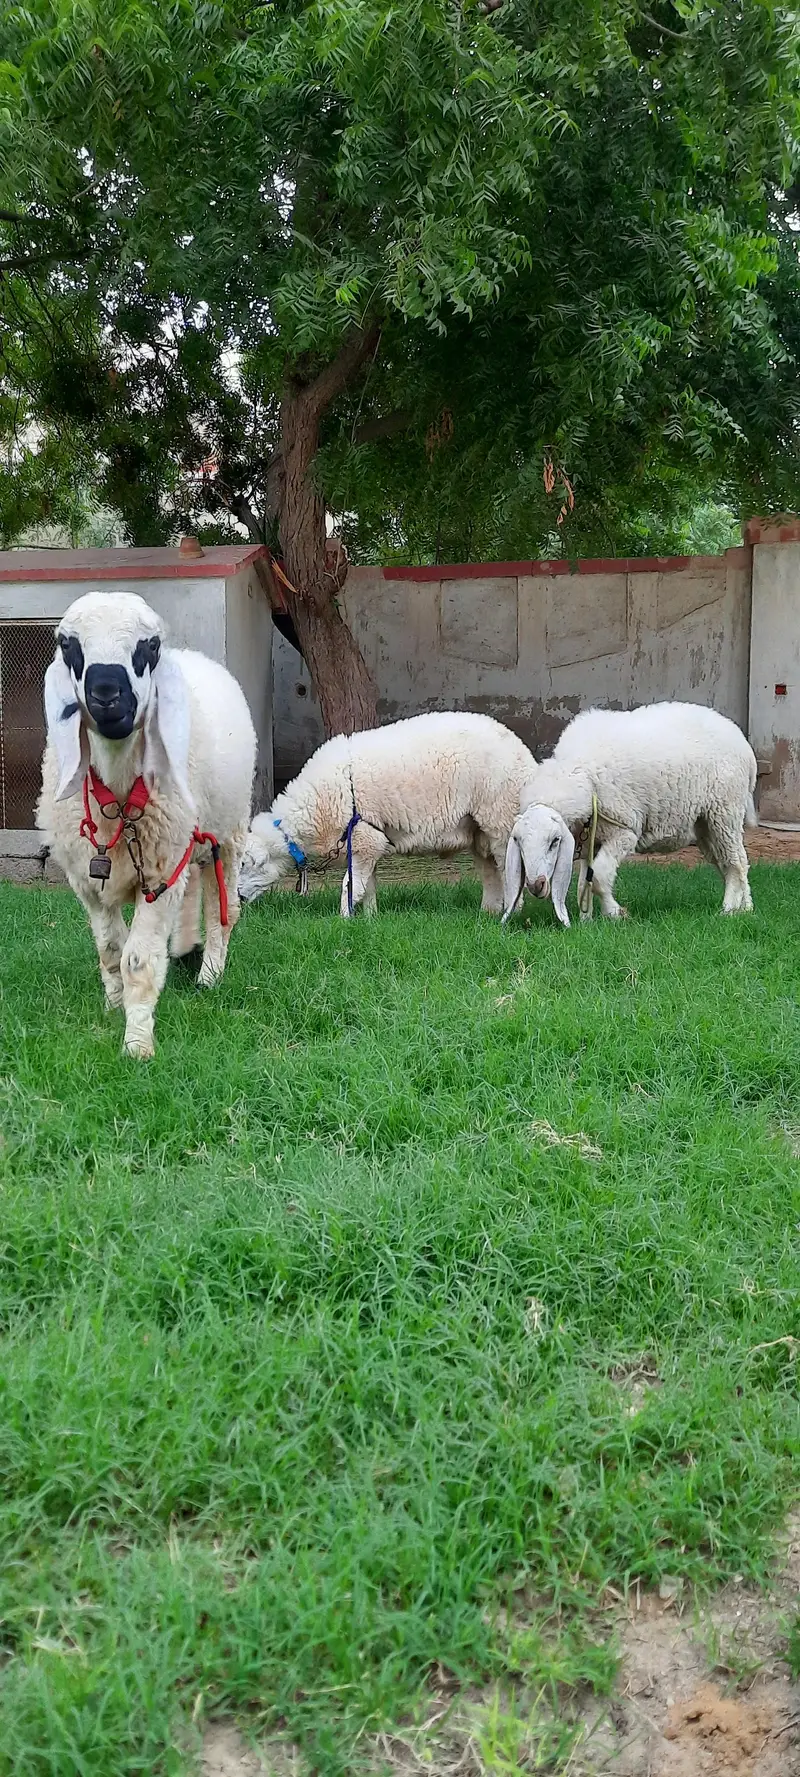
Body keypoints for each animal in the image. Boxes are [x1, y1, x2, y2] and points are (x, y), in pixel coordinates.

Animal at [37, 590, 256, 1059]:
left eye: (150, 646)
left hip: (227, 833)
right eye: (67, 644)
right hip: (185, 839)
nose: (106, 693)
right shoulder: (90, 882)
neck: (118, 796)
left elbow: (137, 960)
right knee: (191, 893)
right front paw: (114, 1007)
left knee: (223, 909)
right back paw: (184, 947)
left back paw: (210, 974)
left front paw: (137, 1044)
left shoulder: (157, 875)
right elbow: (110, 950)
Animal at [238, 711, 538, 916]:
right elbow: (367, 885)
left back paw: (512, 911)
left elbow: (350, 885)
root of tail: (523, 752)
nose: (237, 898)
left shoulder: (362, 836)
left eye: (243, 865)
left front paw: (343, 919)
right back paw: (488, 912)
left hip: (500, 816)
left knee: (509, 867)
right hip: (478, 828)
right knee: (489, 869)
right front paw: (370, 917)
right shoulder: (364, 843)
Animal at [503, 702, 757, 927]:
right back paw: (744, 907)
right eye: (519, 842)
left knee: (736, 862)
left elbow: (598, 877)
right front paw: (586, 921)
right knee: (729, 863)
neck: (583, 775)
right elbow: (584, 883)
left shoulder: (623, 832)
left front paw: (616, 913)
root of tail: (743, 743)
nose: (536, 886)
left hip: (725, 811)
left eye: (554, 841)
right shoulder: (592, 837)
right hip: (704, 824)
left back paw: (728, 909)